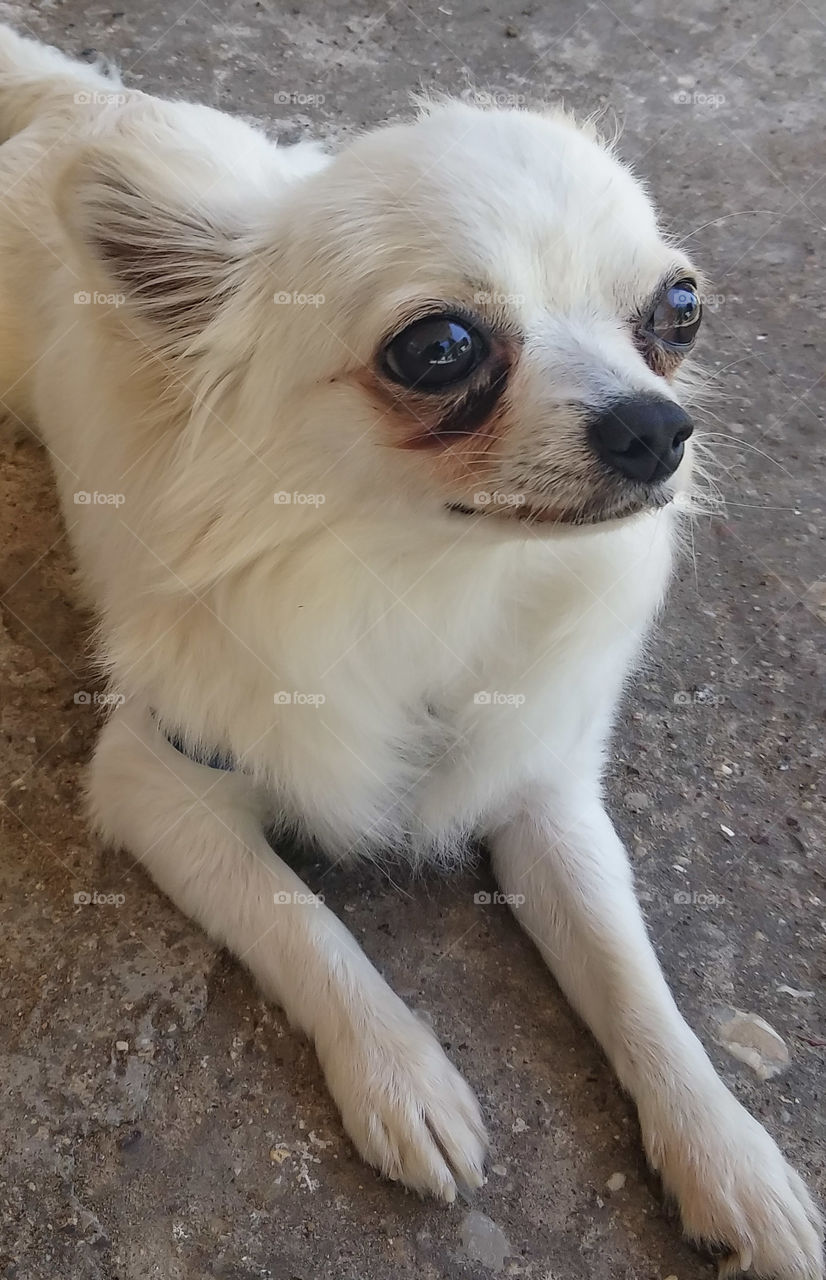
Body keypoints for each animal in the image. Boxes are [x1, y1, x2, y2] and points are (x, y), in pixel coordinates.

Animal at [1, 27, 819, 1280]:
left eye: (678, 309)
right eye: (438, 348)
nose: (657, 425)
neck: (437, 577)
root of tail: (82, 103)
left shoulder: (544, 790)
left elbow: (633, 979)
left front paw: (729, 1152)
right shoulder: (158, 776)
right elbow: (302, 917)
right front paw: (403, 1074)